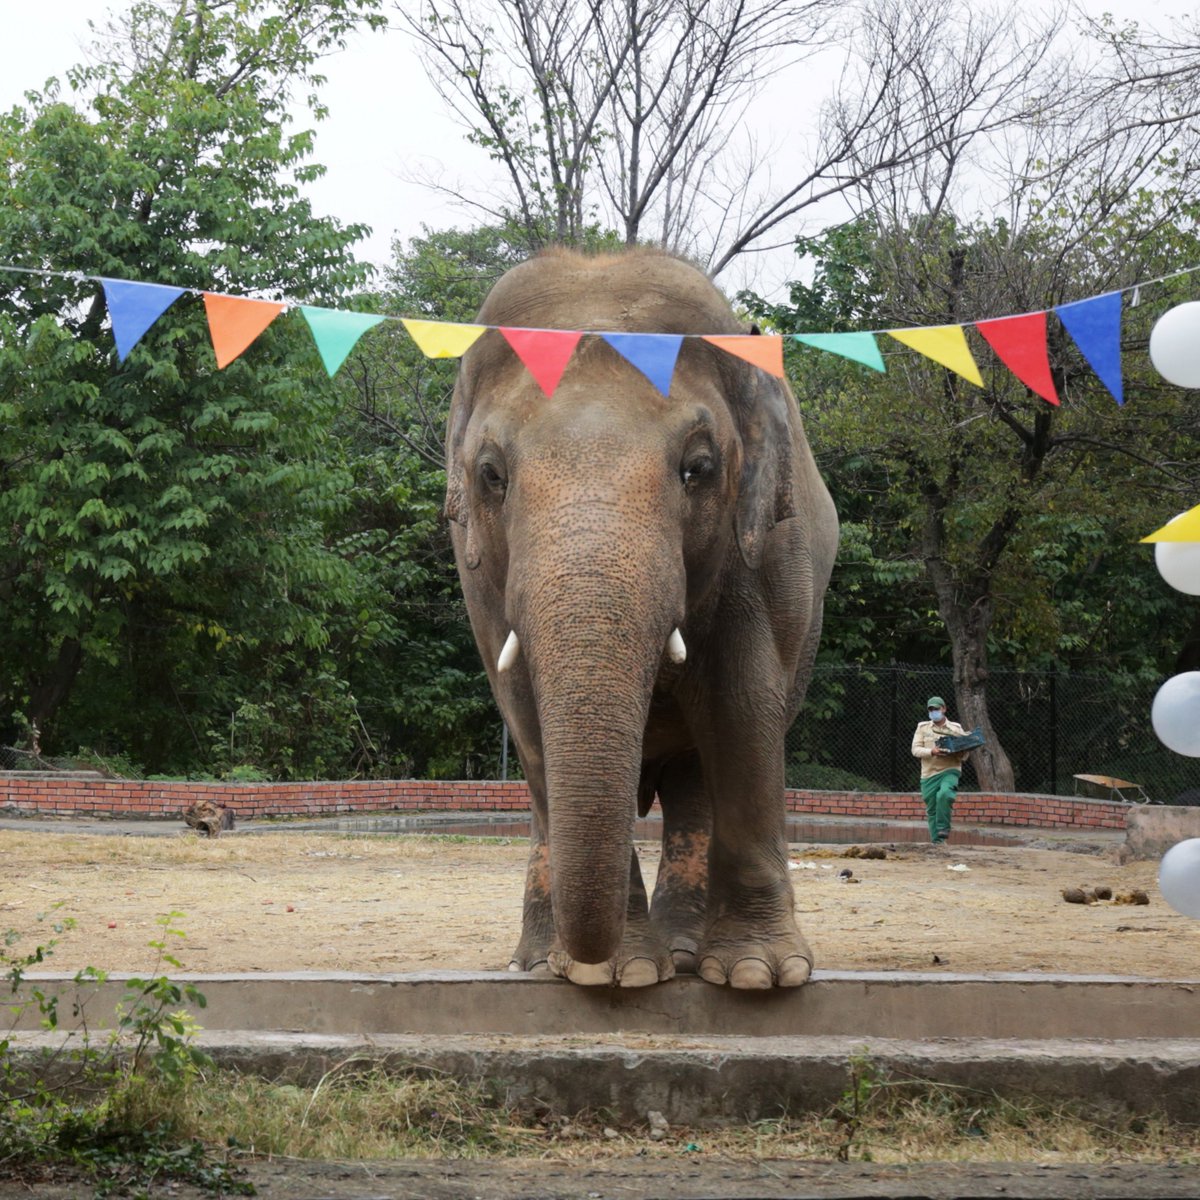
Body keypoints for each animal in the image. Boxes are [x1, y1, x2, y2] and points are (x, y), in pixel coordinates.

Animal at [444, 248, 838, 989]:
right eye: (490, 475)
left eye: (699, 467)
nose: (589, 958)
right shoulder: (478, 576)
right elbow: (525, 715)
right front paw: (611, 976)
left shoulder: (764, 550)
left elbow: (742, 702)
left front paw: (758, 975)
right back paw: (537, 962)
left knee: (695, 782)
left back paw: (687, 954)